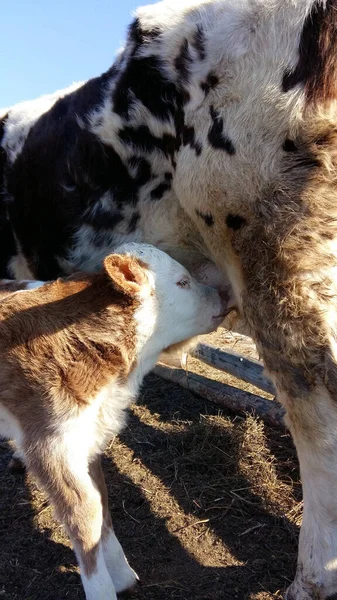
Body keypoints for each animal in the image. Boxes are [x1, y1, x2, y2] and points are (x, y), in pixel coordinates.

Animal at [0, 244, 226, 600]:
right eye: (182, 281)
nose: (223, 295)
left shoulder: (86, 437)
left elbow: (101, 500)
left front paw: (123, 575)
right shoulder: (49, 443)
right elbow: (85, 513)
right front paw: (102, 588)